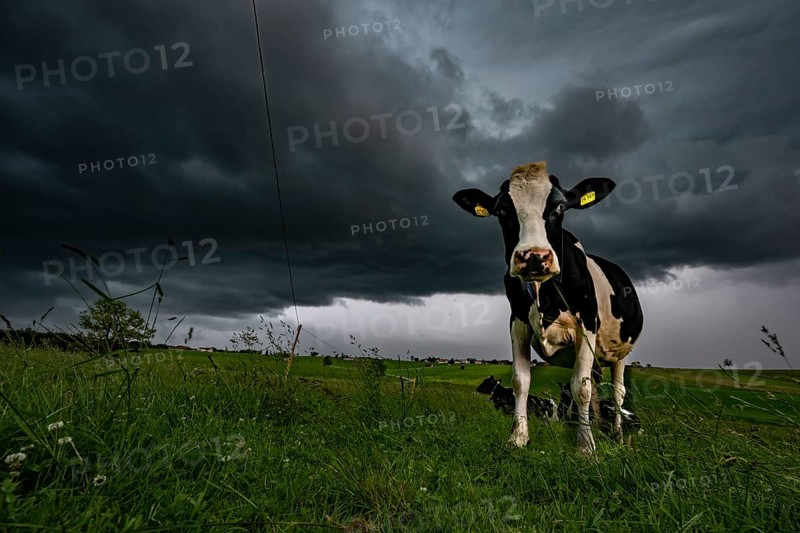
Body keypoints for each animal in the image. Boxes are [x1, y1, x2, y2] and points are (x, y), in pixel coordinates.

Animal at [453, 161, 644, 453]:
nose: (534, 257)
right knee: (595, 385)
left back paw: (618, 437)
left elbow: (580, 388)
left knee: (617, 392)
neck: (546, 295)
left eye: (560, 206)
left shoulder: (587, 325)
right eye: (502, 210)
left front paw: (585, 448)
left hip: (620, 354)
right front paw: (518, 438)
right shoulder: (518, 322)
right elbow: (521, 380)